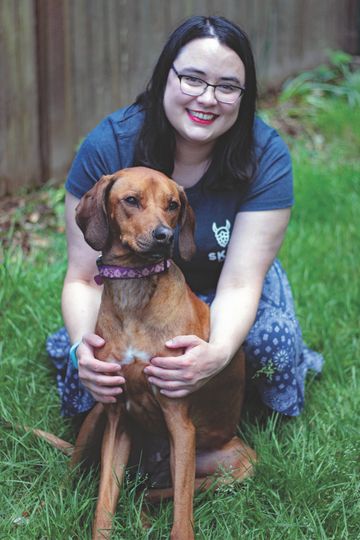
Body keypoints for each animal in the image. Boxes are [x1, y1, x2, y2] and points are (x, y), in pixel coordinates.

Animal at [73, 167, 255, 536]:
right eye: (131, 200)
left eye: (173, 205)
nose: (165, 236)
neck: (134, 287)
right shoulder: (117, 421)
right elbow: (104, 504)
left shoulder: (180, 423)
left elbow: (182, 515)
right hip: (97, 418)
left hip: (235, 464)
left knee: (158, 491)